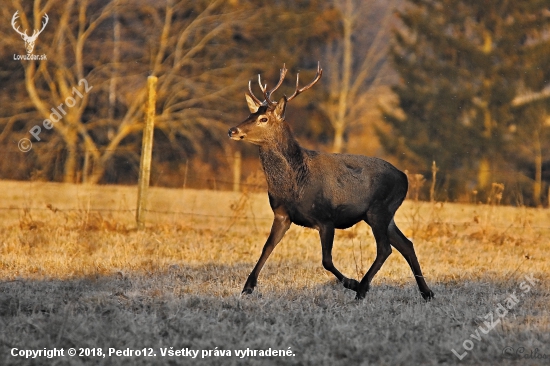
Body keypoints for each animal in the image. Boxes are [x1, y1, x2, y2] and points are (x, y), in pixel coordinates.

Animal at [229, 63, 436, 300]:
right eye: (251, 113)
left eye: (264, 119)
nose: (232, 130)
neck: (294, 184)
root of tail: (404, 177)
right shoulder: (282, 215)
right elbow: (266, 248)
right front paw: (247, 287)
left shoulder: (326, 218)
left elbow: (326, 260)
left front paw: (352, 282)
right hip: (382, 214)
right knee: (406, 244)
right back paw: (427, 292)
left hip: (380, 209)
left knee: (385, 248)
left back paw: (362, 288)